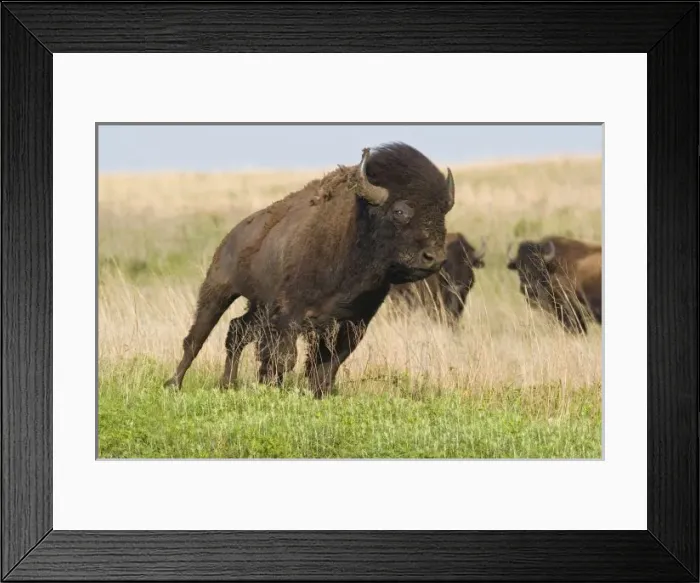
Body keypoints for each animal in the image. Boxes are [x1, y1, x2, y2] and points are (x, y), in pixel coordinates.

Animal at [164, 142, 456, 398]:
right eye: (400, 211)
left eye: (443, 212)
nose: (434, 257)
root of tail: (233, 235)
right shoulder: (289, 315)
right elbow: (284, 358)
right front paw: (275, 389)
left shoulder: (353, 323)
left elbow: (327, 365)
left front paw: (317, 393)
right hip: (218, 289)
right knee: (197, 338)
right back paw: (174, 384)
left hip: (258, 307)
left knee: (236, 331)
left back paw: (227, 384)